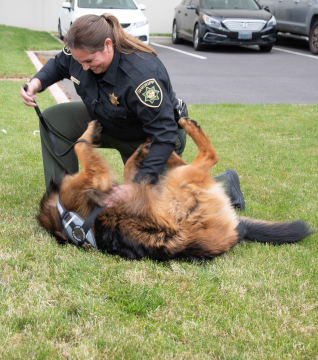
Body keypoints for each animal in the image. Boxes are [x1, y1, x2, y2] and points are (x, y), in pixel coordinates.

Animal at [38, 119, 314, 260]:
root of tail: (234, 233)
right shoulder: (94, 178)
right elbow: (79, 146)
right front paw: (91, 131)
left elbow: (109, 158)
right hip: (179, 182)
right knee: (209, 156)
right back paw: (184, 127)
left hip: (163, 182)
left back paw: (155, 143)